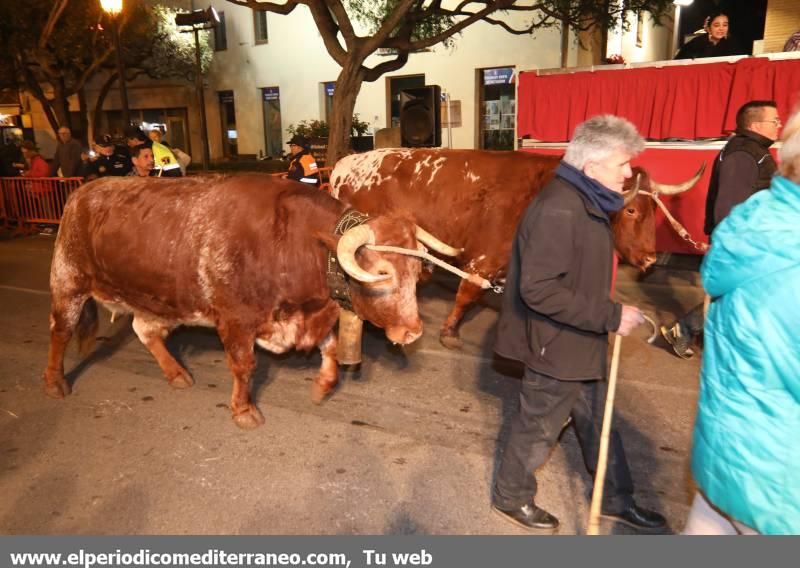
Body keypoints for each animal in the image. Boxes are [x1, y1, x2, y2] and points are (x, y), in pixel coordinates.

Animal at [42, 175, 456, 428]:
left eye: (416, 270)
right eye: (383, 272)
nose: (412, 331)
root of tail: (83, 192)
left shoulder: (310, 313)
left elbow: (331, 349)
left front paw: (323, 386)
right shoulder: (236, 320)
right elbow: (244, 365)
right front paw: (244, 410)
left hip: (157, 298)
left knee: (144, 329)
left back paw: (177, 374)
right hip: (68, 281)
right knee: (60, 332)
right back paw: (55, 383)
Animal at [330, 149, 700, 348]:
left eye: (654, 211)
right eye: (632, 210)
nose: (651, 258)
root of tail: (346, 164)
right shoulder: (483, 259)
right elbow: (467, 294)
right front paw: (449, 331)